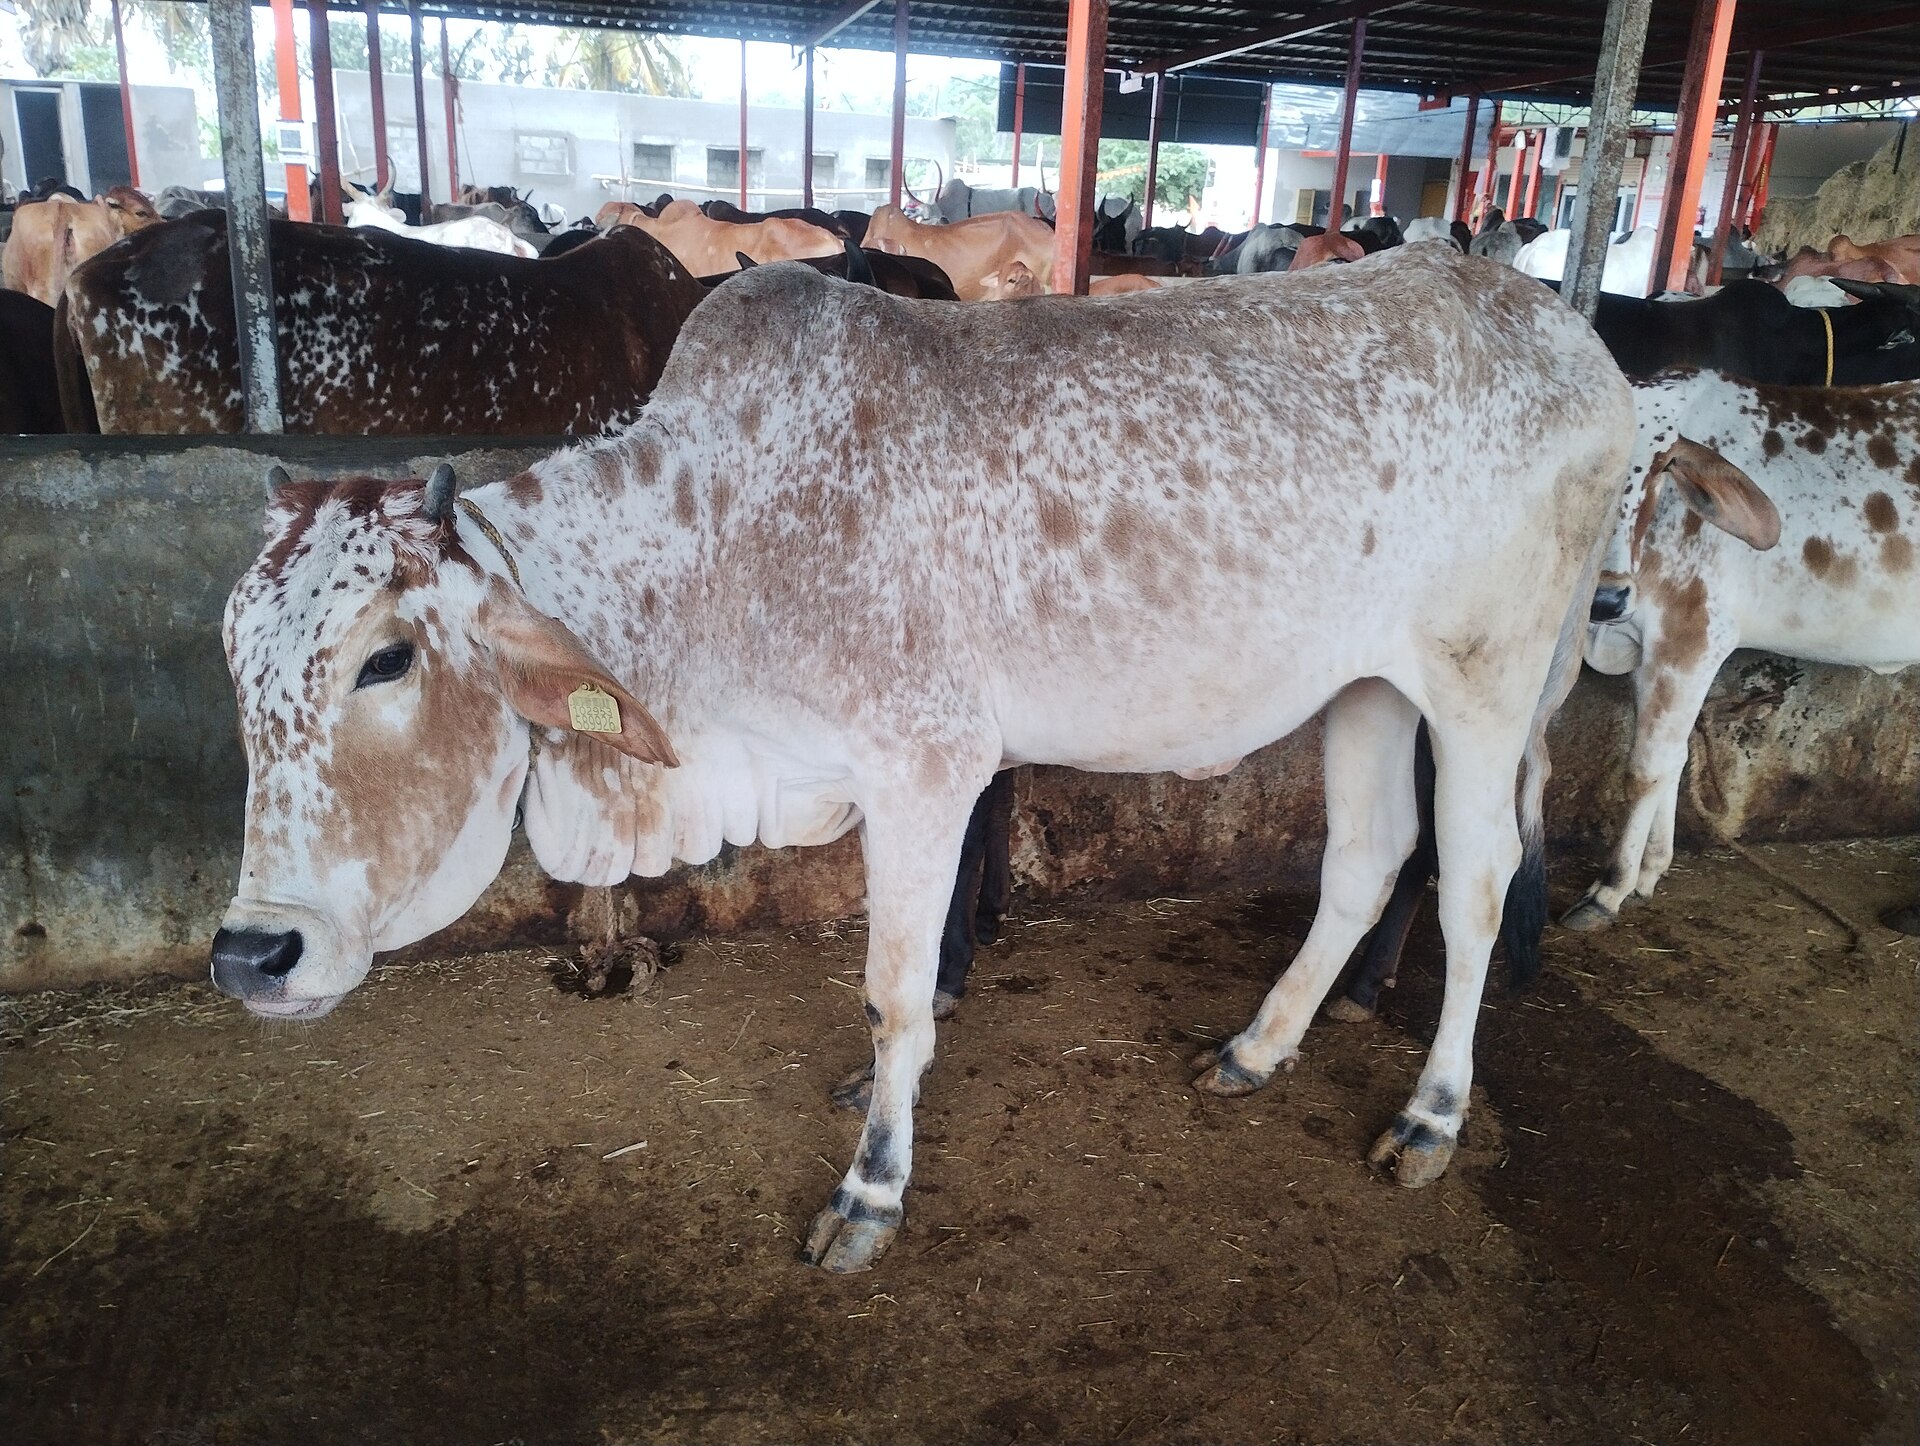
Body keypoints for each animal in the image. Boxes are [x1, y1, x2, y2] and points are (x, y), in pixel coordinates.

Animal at [210, 245, 1643, 1273]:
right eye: (234, 660)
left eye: (387, 659)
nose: (251, 953)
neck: (722, 546)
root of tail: (1581, 348)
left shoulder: (926, 767)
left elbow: (896, 992)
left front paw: (872, 1187)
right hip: (1366, 688)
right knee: (1365, 857)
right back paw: (1257, 1046)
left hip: (1483, 683)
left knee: (1473, 882)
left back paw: (1432, 1113)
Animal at [1564, 370, 1916, 928]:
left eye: (1664, 463)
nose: (1607, 597)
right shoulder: (1651, 653)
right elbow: (1674, 760)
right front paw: (1649, 872)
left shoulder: (1691, 640)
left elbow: (1645, 770)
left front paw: (1609, 888)